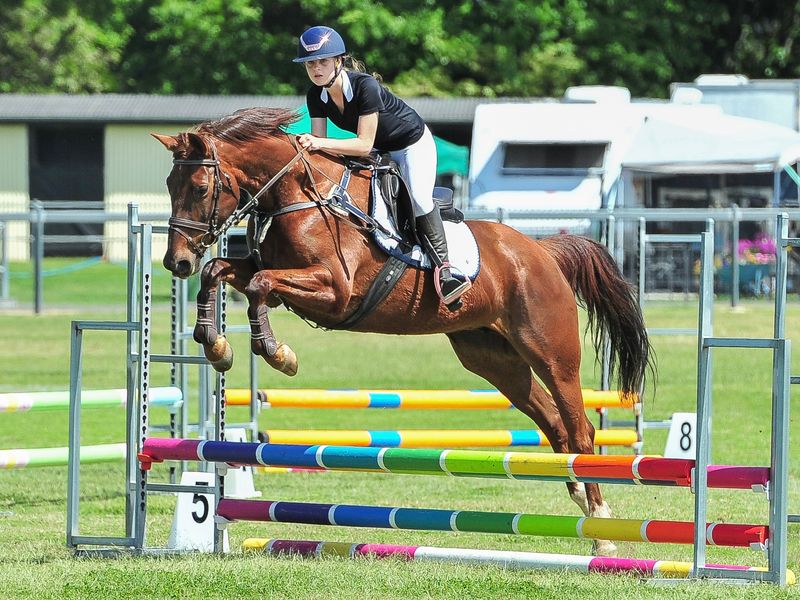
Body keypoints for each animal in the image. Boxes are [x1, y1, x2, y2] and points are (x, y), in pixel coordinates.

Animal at [153, 107, 653, 557]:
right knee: (554, 425)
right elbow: (221, 272)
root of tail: (542, 252)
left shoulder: (335, 290)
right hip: (494, 360)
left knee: (580, 428)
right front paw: (216, 345)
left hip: (550, 352)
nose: (176, 262)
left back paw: (603, 528)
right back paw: (581, 504)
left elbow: (258, 284)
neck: (300, 197)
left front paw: (277, 353)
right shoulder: (277, 279)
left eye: (200, 188)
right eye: (169, 186)